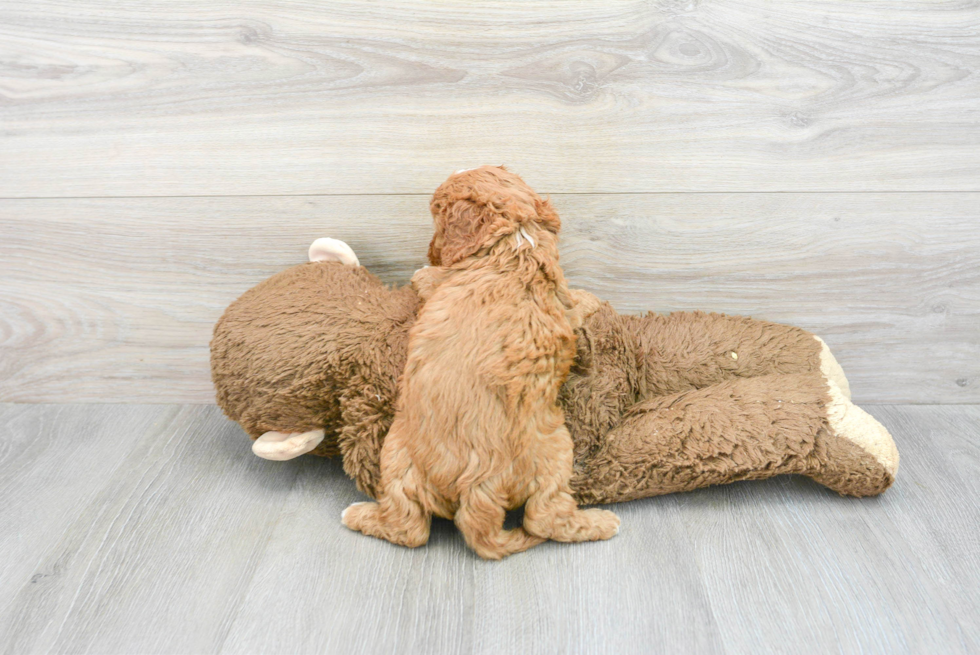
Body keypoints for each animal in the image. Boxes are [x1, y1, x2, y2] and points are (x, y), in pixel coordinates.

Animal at [342, 168, 620, 560]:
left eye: (437, 217)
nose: (430, 251)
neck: (517, 242)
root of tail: (479, 487)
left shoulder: (442, 281)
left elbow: (425, 277)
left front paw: (421, 269)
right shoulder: (559, 299)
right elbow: (575, 301)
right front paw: (593, 299)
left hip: (403, 452)